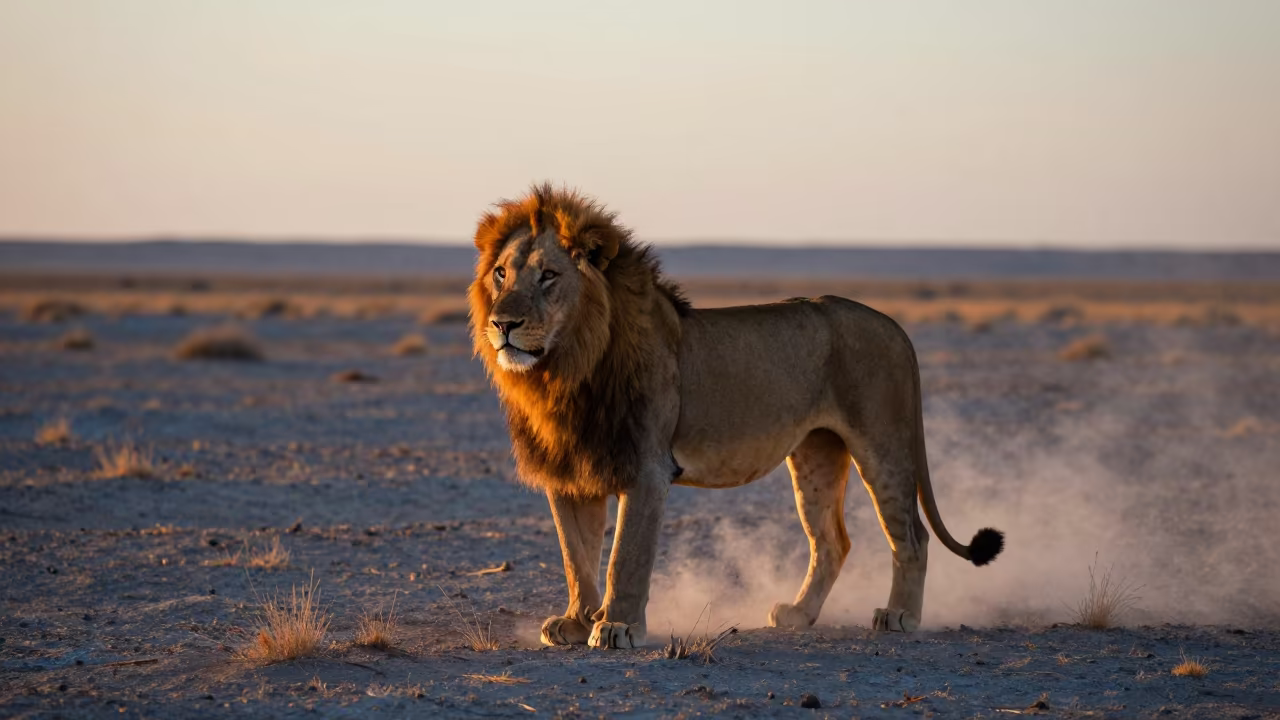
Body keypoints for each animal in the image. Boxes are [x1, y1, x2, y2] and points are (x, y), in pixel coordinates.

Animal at [468, 184, 1003, 649]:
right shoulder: (570, 471)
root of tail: (894, 324)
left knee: (911, 533)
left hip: (882, 443)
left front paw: (617, 626)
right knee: (832, 540)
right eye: (501, 274)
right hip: (815, 454)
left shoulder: (646, 469)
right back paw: (798, 613)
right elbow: (576, 557)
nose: (502, 324)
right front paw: (578, 622)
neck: (565, 371)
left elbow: (625, 556)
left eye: (548, 276)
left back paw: (900, 615)